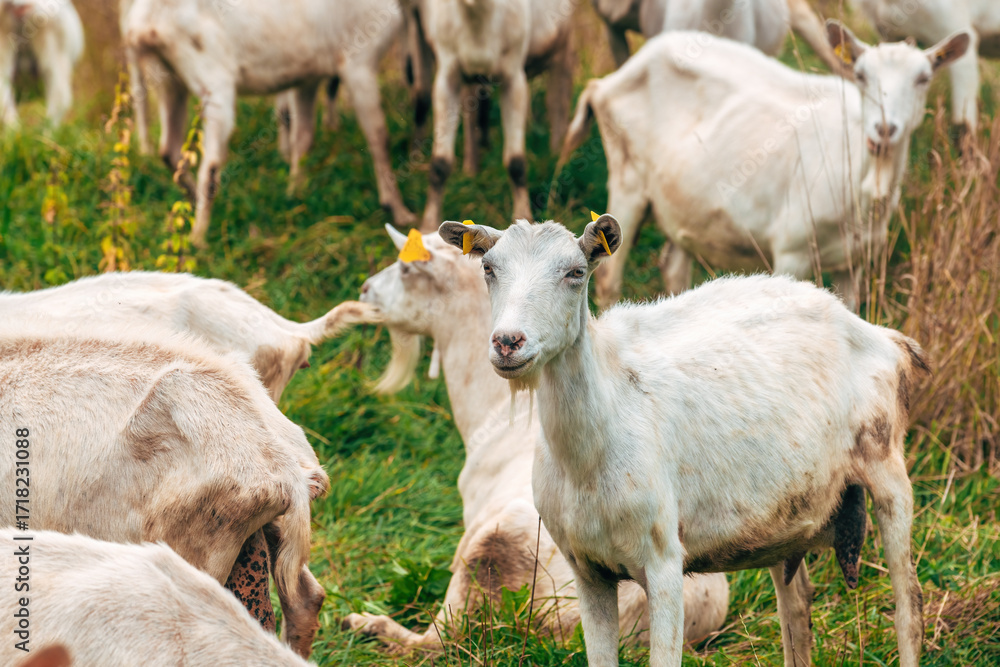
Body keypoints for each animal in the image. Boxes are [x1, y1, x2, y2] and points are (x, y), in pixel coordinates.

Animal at [439, 215, 929, 667]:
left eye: (575, 272)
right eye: (488, 268)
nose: (507, 342)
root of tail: (877, 332)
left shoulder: (664, 565)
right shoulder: (587, 571)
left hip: (888, 468)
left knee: (909, 608)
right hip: (784, 516)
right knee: (797, 609)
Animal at [558, 22, 969, 309]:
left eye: (924, 78)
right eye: (861, 76)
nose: (884, 130)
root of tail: (605, 82)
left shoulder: (854, 263)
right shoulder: (791, 249)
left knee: (674, 267)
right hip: (627, 177)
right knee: (610, 277)